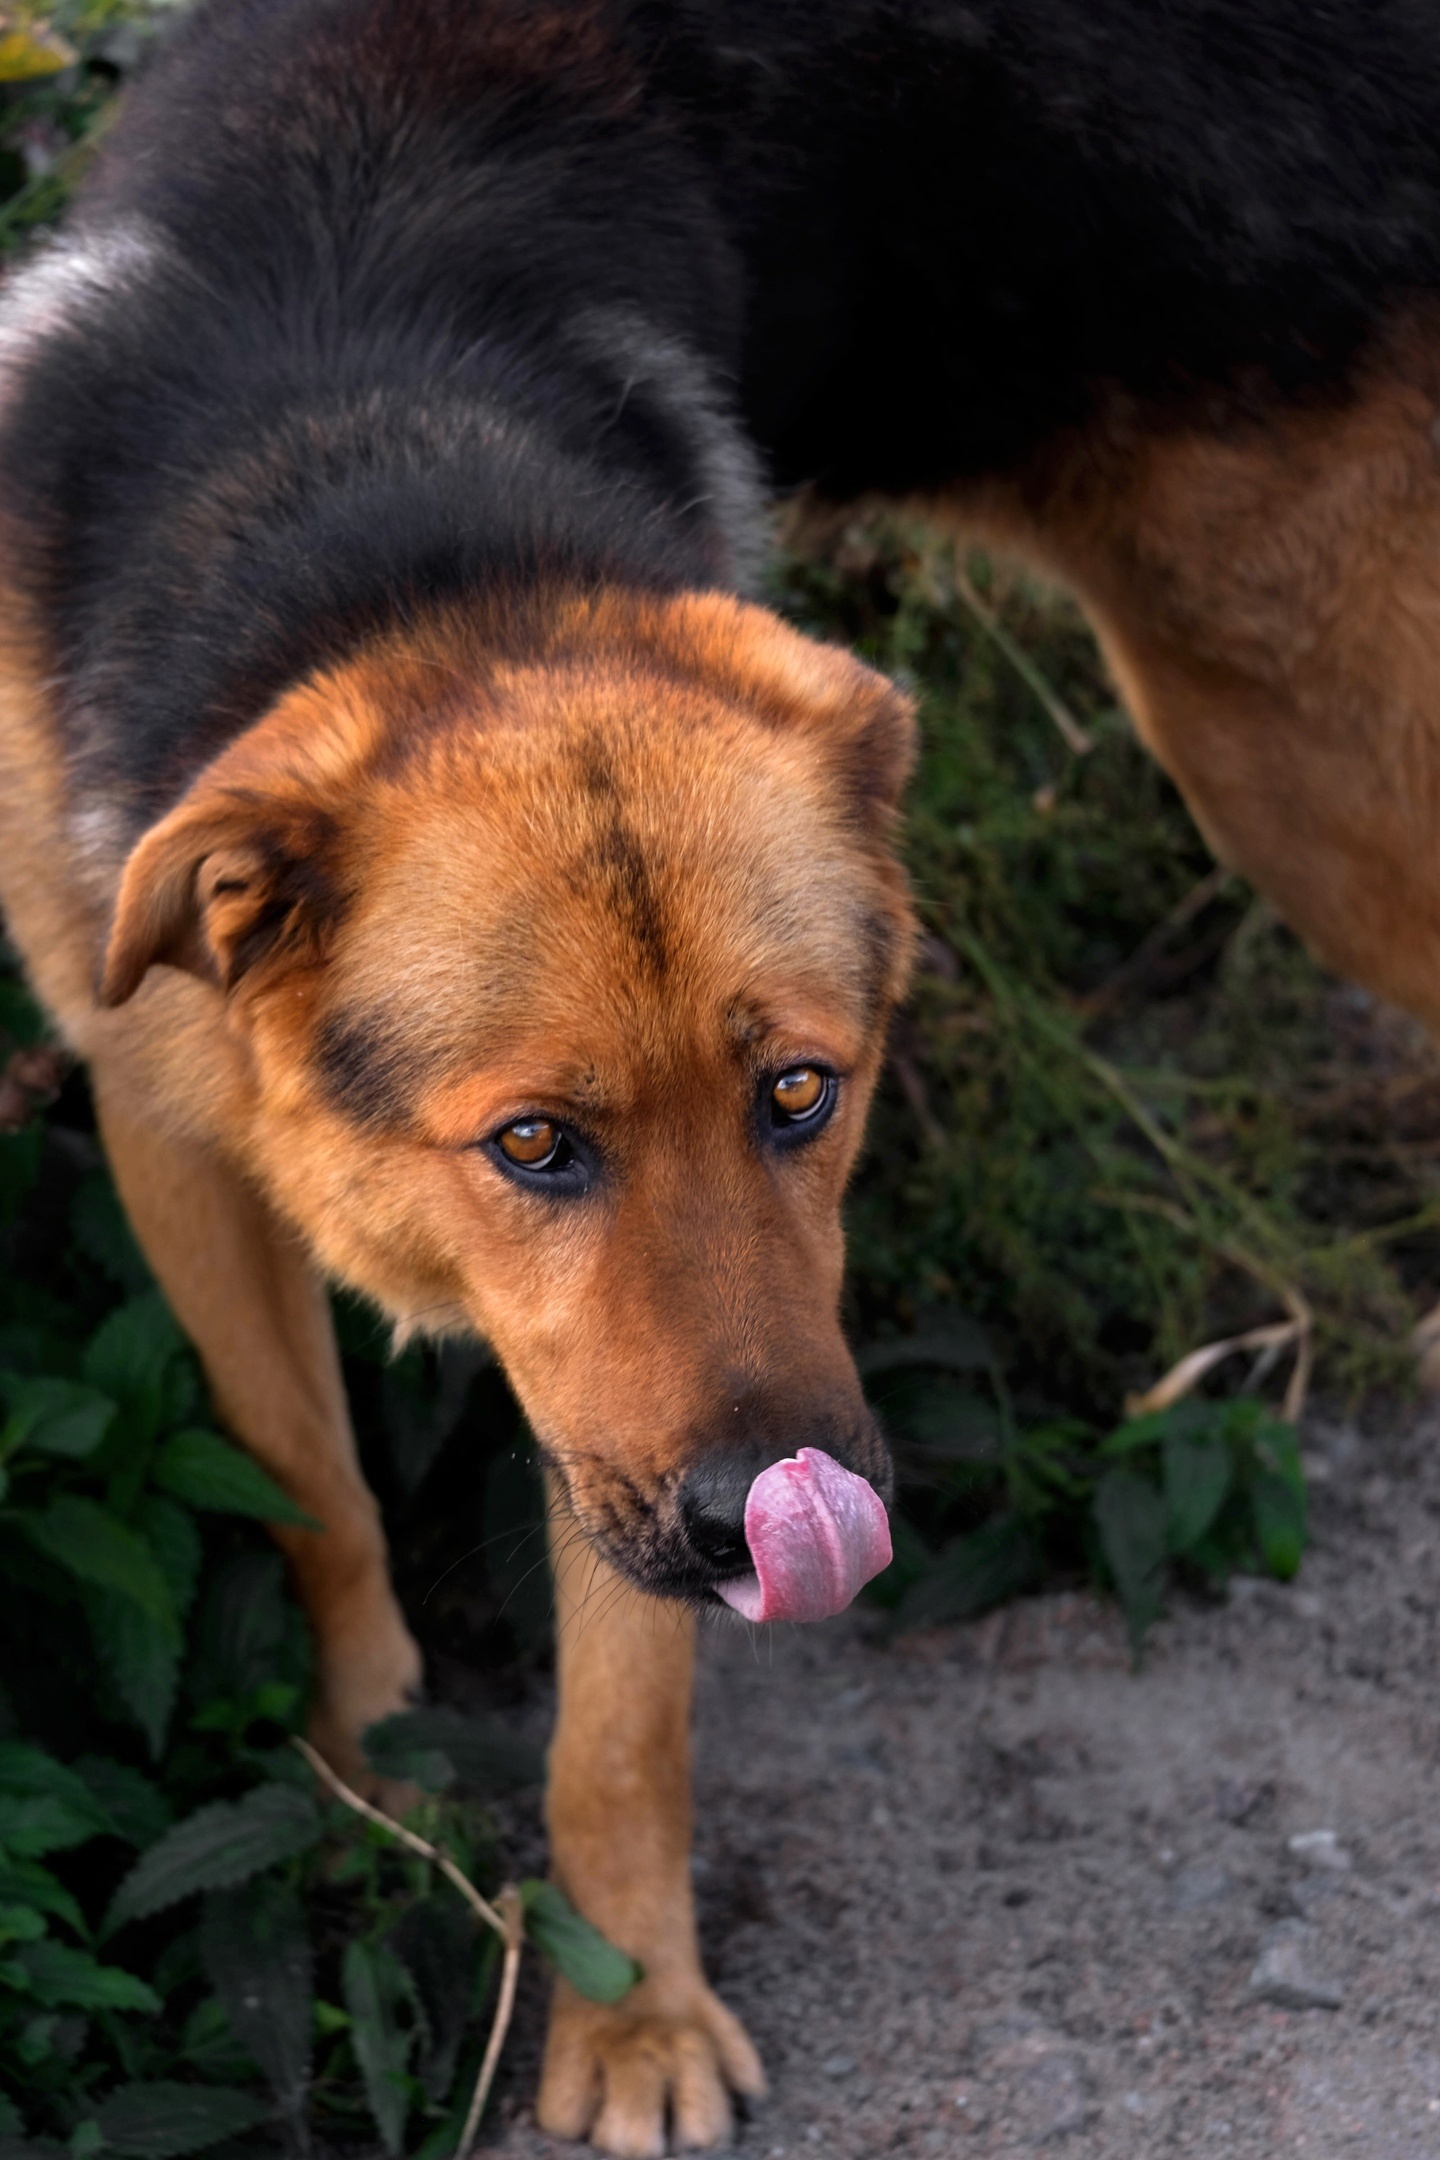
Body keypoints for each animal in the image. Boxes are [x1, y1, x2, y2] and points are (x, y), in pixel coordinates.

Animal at [8, 0, 1440, 2151]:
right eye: (533, 1143)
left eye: (800, 1096)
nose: (797, 1514)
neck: (380, 485)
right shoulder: (168, 1127)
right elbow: (310, 1487)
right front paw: (378, 1787)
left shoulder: (645, 1444)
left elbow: (622, 1726)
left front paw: (632, 2022)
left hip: (1310, 771)